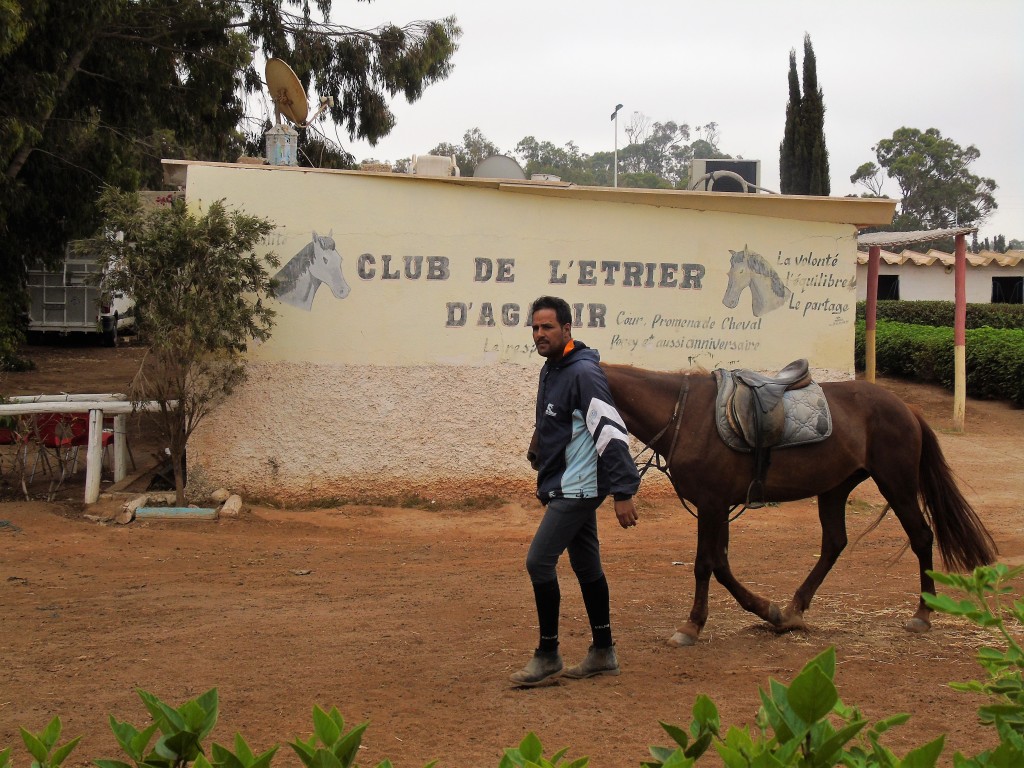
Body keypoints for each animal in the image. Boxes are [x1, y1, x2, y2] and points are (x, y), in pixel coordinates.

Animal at [602, 364, 995, 647]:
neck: (684, 415)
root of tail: (905, 408)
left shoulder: (712, 504)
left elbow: (705, 565)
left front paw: (692, 626)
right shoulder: (719, 505)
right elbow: (721, 565)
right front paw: (770, 612)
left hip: (895, 484)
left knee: (921, 537)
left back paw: (923, 613)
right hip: (835, 488)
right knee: (834, 543)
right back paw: (794, 610)